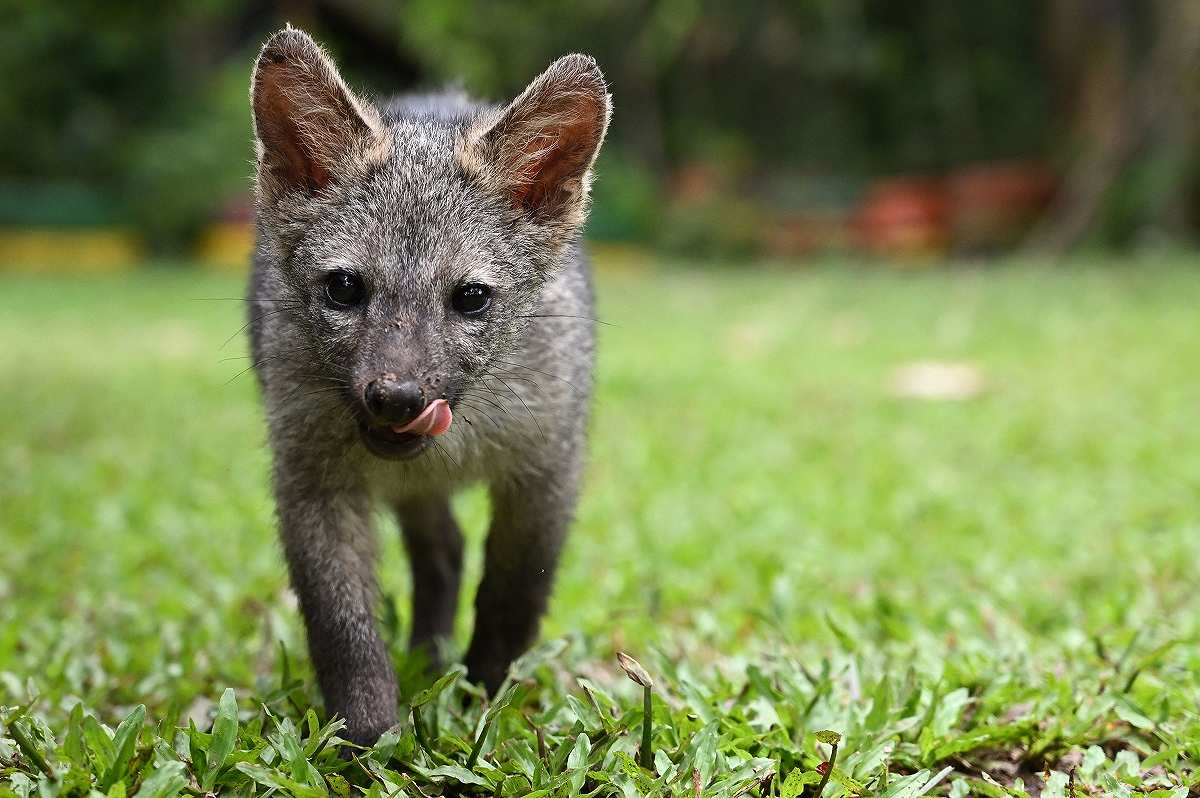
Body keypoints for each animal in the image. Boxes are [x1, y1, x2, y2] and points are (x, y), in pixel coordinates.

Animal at [249, 26, 614, 748]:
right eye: (344, 288)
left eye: (471, 298)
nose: (396, 397)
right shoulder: (309, 476)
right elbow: (341, 623)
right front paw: (366, 738)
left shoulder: (546, 470)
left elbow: (510, 599)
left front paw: (484, 702)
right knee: (442, 549)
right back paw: (425, 655)